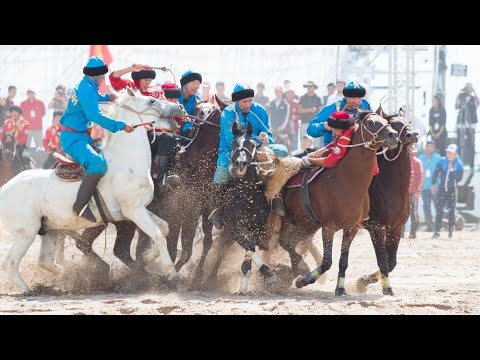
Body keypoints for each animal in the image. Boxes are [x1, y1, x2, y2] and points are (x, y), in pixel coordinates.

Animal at [0, 87, 188, 292]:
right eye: (151, 101)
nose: (180, 108)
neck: (126, 160)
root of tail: (4, 189)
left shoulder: (139, 209)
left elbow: (164, 228)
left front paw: (146, 258)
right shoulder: (134, 211)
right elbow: (158, 235)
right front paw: (172, 273)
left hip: (50, 229)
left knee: (45, 261)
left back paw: (68, 278)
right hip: (26, 233)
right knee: (10, 262)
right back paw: (26, 290)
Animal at [278, 112, 398, 296]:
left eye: (386, 121)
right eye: (371, 122)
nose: (393, 135)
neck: (347, 181)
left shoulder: (352, 228)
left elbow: (343, 260)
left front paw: (340, 288)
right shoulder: (328, 226)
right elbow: (327, 261)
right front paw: (304, 280)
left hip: (305, 225)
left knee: (291, 243)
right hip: (287, 220)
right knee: (284, 241)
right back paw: (300, 268)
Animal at [356, 107, 420, 296]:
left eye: (407, 121)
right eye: (392, 123)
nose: (412, 135)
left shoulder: (395, 228)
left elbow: (391, 262)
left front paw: (363, 281)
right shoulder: (376, 228)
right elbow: (382, 260)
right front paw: (387, 289)